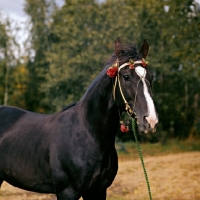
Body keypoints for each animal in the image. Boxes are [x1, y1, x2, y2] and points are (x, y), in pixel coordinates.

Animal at [0, 38, 159, 199]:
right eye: (126, 77)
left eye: (151, 77)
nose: (150, 121)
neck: (88, 134)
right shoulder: (67, 192)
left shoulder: (98, 190)